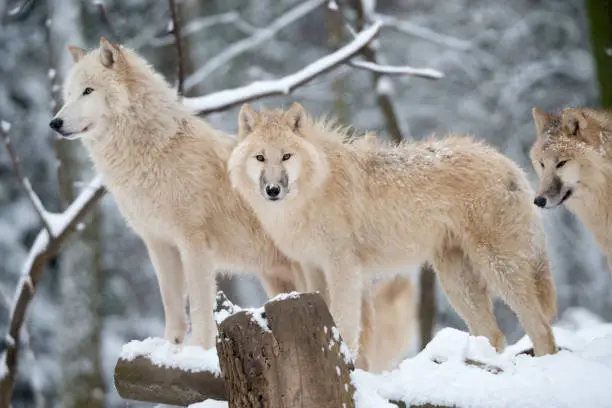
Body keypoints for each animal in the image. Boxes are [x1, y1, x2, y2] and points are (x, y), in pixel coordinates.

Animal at [49, 37, 416, 370]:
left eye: (88, 91)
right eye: (68, 94)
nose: (54, 123)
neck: (157, 150)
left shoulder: (194, 244)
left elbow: (199, 308)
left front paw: (198, 355)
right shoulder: (158, 244)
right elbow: (173, 309)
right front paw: (170, 353)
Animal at [227, 102, 556, 356]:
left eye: (286, 156)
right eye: (260, 157)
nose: (272, 190)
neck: (313, 191)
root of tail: (509, 164)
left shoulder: (343, 268)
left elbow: (346, 325)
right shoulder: (312, 267)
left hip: (499, 268)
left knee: (541, 328)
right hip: (456, 281)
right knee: (494, 334)